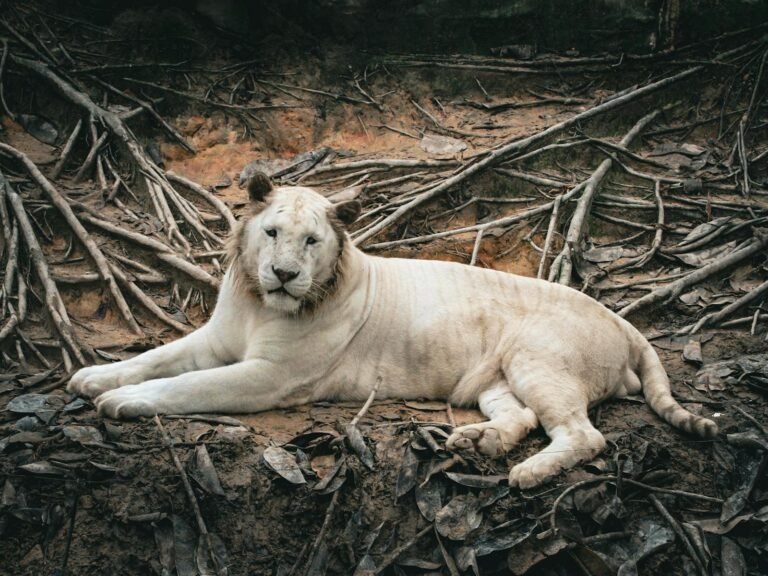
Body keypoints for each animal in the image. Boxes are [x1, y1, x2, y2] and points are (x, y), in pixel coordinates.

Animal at [68, 172, 717, 488]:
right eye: (273, 232)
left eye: (312, 241)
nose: (284, 274)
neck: (259, 303)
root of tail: (622, 320)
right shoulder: (214, 339)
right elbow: (157, 357)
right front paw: (92, 377)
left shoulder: (270, 377)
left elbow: (187, 387)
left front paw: (121, 401)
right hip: (496, 378)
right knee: (524, 419)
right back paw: (476, 443)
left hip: (539, 359)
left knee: (584, 436)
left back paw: (525, 474)